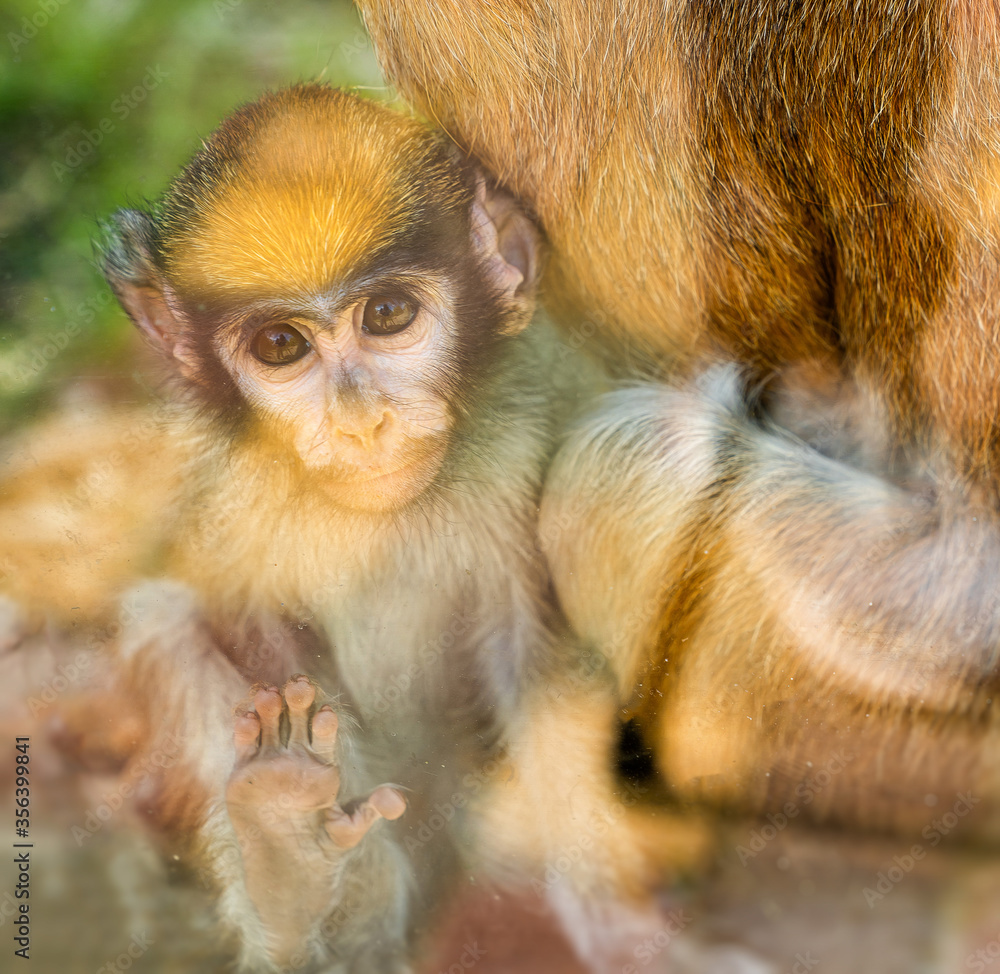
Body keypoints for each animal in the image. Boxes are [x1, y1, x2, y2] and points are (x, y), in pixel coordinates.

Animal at [89, 83, 706, 973]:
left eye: (386, 314)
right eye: (281, 344)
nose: (360, 424)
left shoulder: (527, 424)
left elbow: (536, 664)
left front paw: (621, 931)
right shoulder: (222, 482)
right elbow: (250, 635)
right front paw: (297, 843)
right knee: (167, 622)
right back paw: (289, 875)